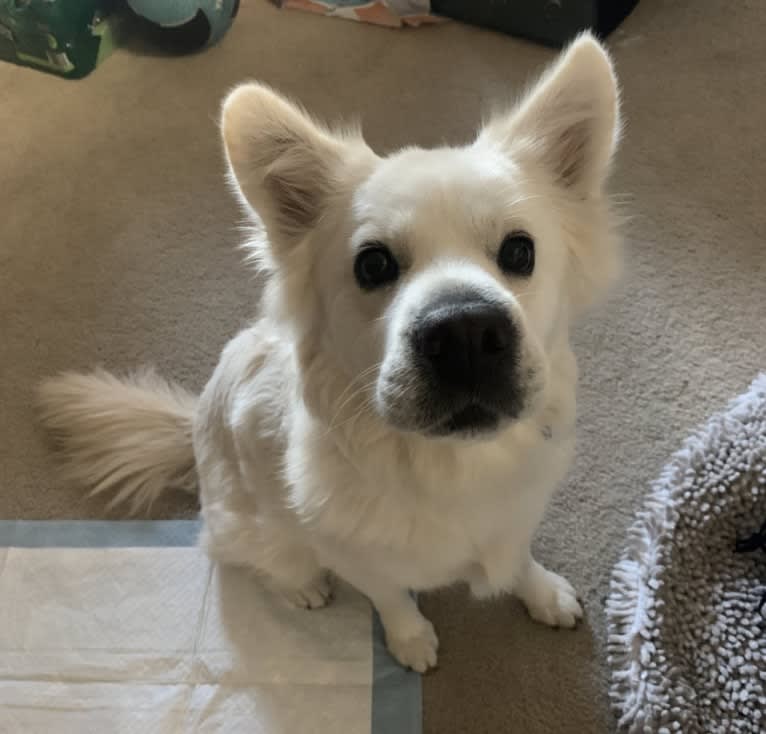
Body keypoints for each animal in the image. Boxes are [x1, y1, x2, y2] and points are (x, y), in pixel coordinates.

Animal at [37, 37, 624, 676]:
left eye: (520, 252)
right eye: (373, 264)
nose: (466, 331)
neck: (449, 467)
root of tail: (191, 428)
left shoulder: (518, 513)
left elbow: (517, 558)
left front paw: (542, 593)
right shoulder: (354, 554)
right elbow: (392, 597)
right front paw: (411, 641)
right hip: (253, 529)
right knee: (257, 559)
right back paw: (302, 588)